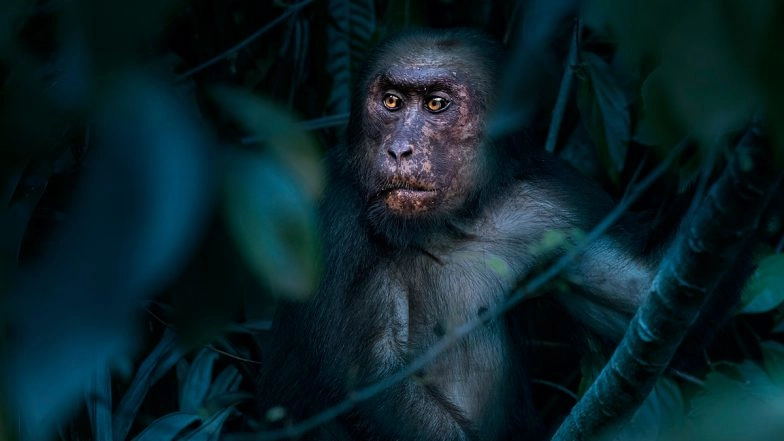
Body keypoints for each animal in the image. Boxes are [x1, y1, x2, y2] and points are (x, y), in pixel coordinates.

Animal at [256, 29, 658, 440]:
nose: (399, 149)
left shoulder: (558, 207)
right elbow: (367, 380)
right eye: (391, 102)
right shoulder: (333, 213)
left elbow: (628, 292)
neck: (450, 223)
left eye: (436, 104)